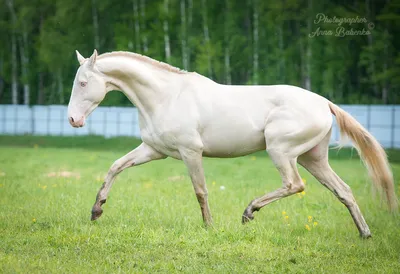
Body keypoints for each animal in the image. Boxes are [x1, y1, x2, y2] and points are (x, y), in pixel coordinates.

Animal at [66, 49, 396, 238]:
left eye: (82, 83)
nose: (72, 120)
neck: (165, 96)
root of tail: (324, 103)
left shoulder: (190, 152)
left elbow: (200, 191)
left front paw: (209, 227)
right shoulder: (154, 150)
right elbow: (115, 167)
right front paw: (96, 210)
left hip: (281, 152)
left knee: (294, 184)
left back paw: (249, 212)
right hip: (313, 158)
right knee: (344, 191)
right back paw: (365, 233)